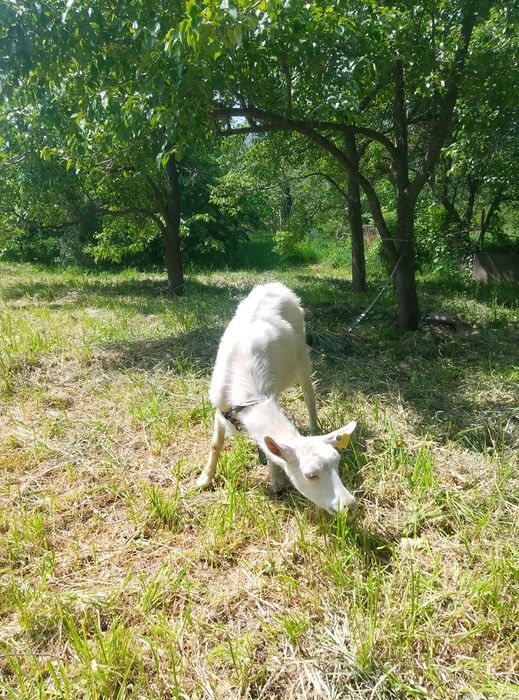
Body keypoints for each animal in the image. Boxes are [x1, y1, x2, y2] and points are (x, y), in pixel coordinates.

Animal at [197, 282, 357, 515]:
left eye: (337, 463)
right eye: (310, 475)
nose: (349, 505)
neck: (247, 399)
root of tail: (275, 284)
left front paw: (276, 482)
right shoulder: (220, 407)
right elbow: (215, 444)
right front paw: (204, 479)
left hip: (302, 352)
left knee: (309, 397)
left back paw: (314, 428)